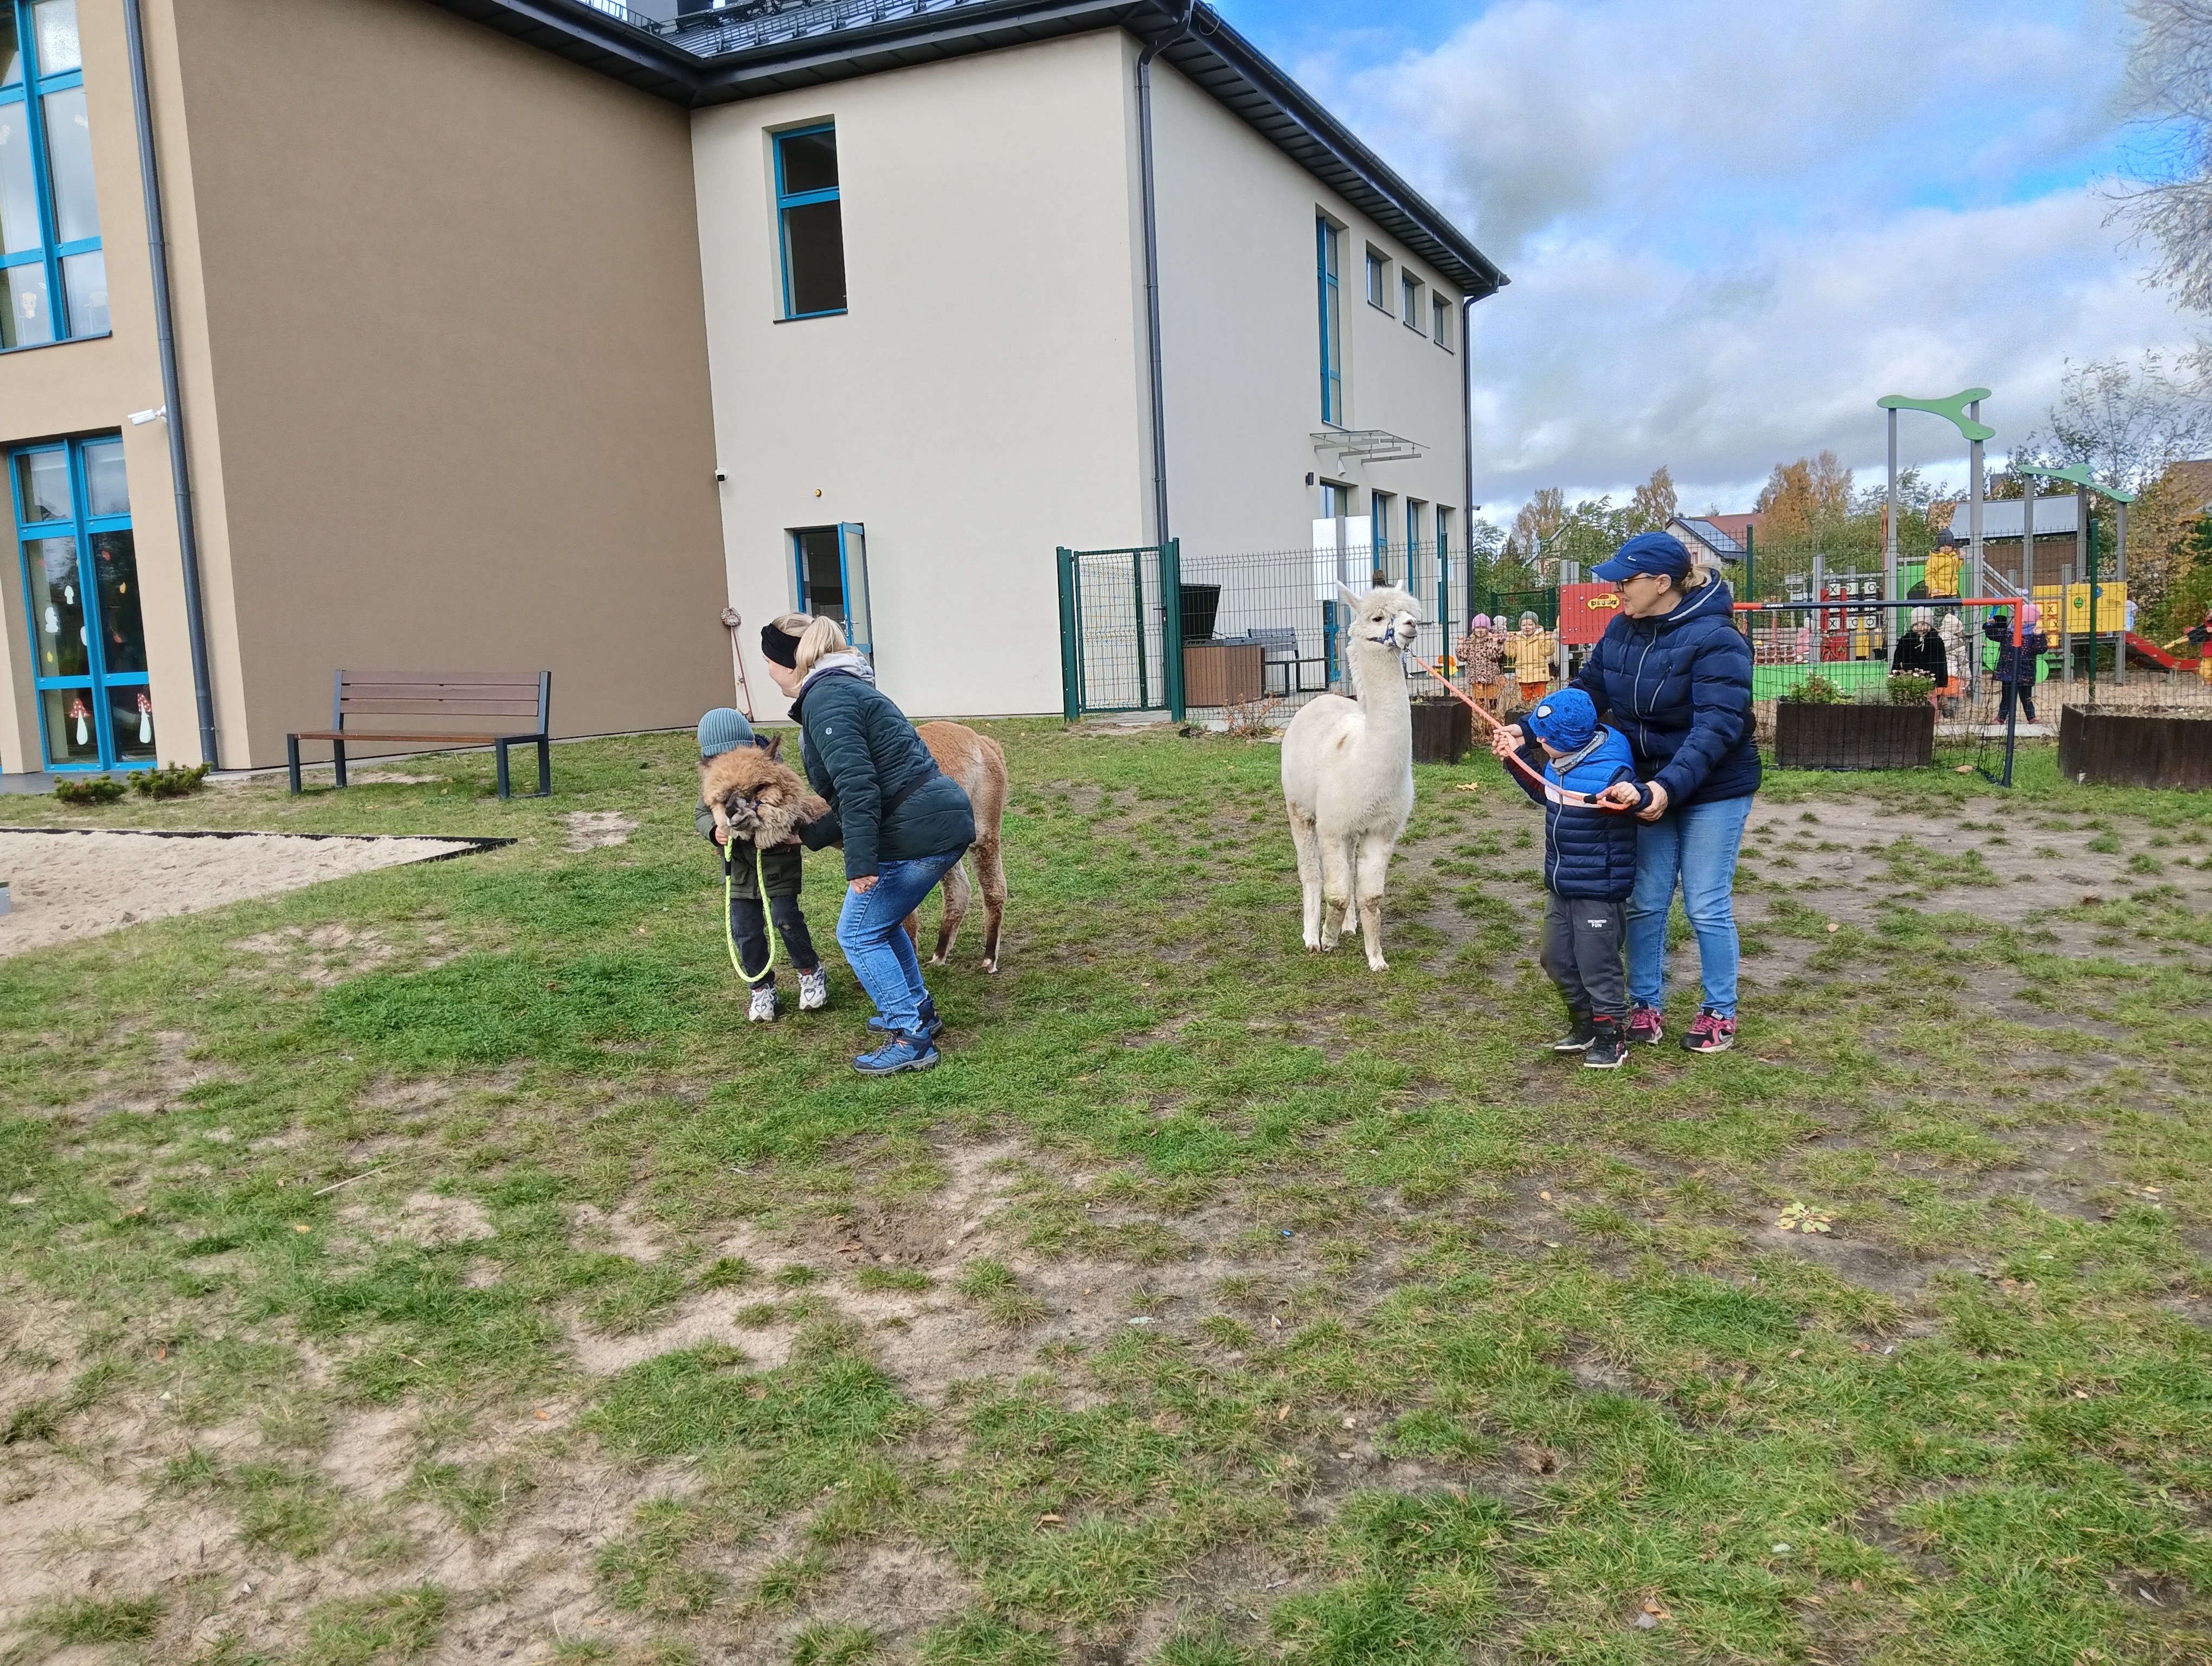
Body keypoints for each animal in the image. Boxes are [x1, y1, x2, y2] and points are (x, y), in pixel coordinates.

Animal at [905, 721, 1009, 973]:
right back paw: (939, 954)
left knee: (994, 887)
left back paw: (989, 958)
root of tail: (985, 742)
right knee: (960, 890)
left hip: (984, 825)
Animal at [1280, 583, 1420, 971]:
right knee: (1311, 872)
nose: (1412, 625)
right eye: (1378, 617)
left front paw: (1376, 959)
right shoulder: (1332, 825)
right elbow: (1338, 894)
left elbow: (1371, 897)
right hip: (1299, 806)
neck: (1366, 755)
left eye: (1409, 610)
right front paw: (1326, 940)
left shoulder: (1382, 829)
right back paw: (1312, 935)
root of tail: (1322, 699)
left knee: (1349, 872)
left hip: (1353, 826)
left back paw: (1349, 927)